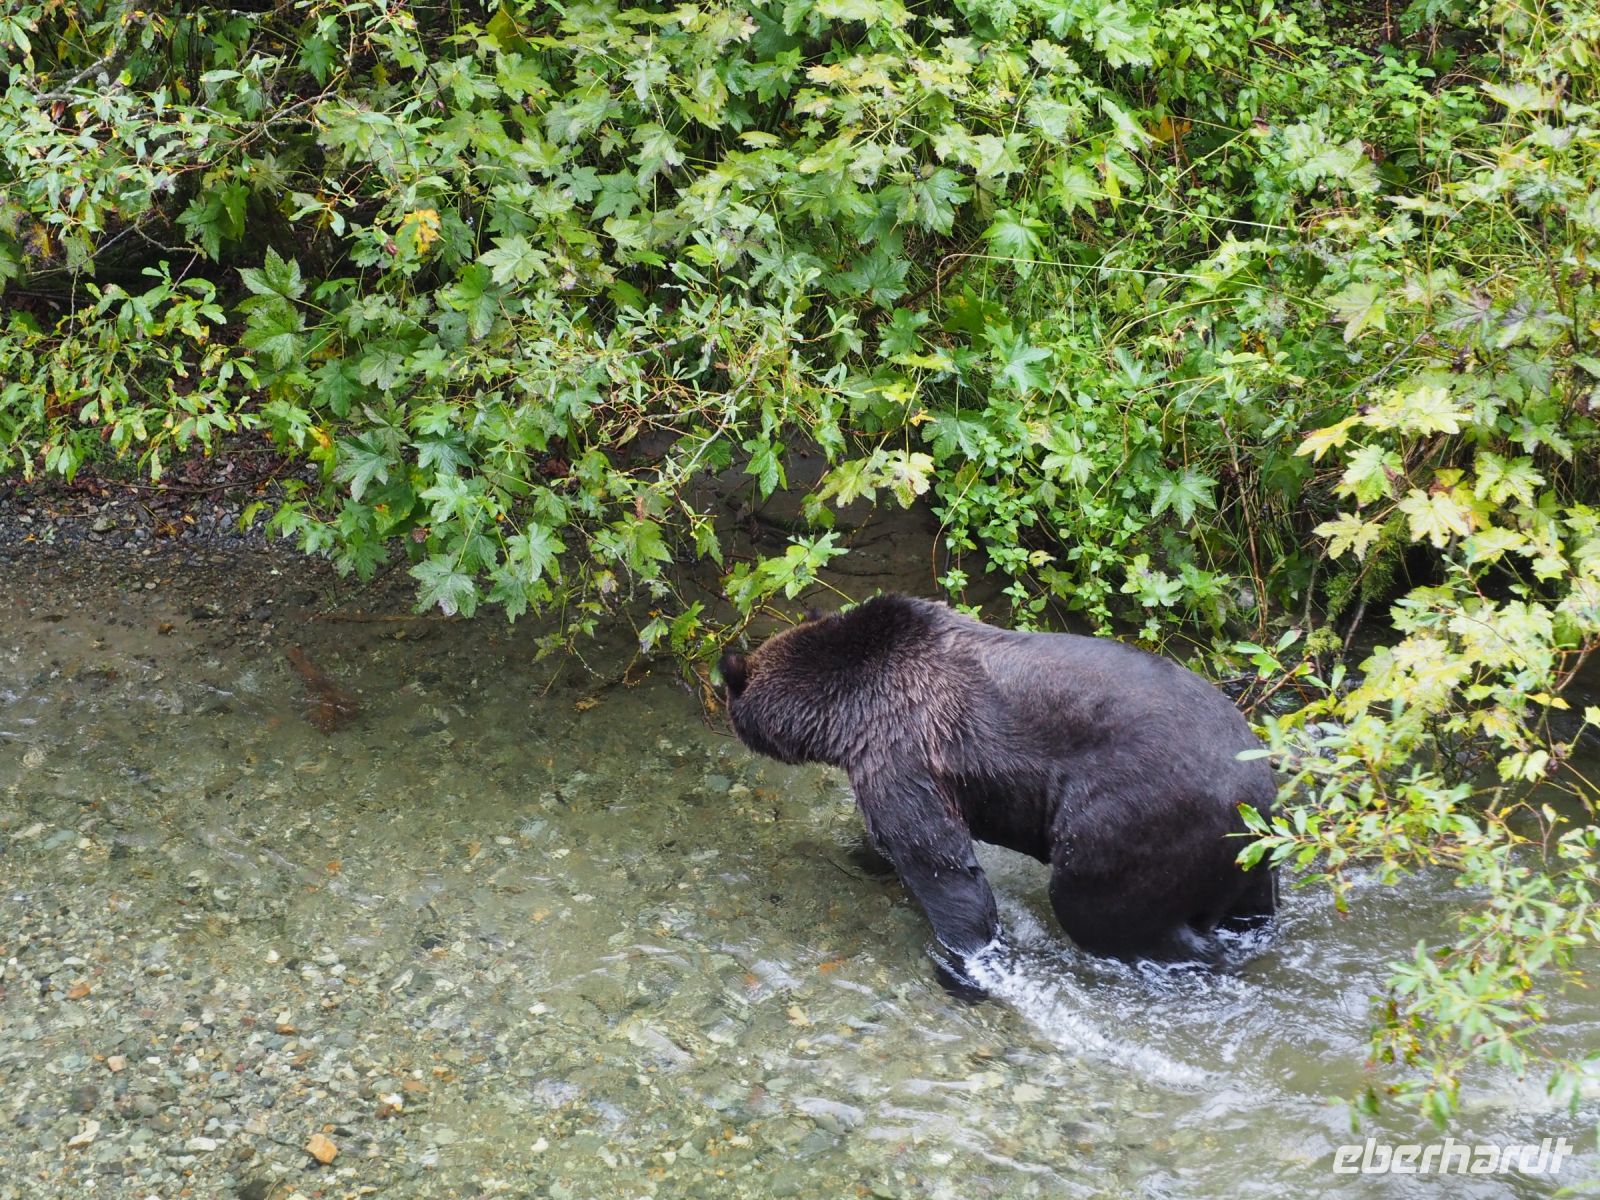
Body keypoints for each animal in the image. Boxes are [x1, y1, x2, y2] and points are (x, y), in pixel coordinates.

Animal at [718, 594, 1277, 980]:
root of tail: (1256, 789)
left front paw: (964, 963)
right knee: (1253, 907)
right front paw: (861, 853)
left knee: (1097, 907)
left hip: (1132, 821)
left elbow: (941, 865)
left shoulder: (906, 747)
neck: (844, 711)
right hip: (1250, 853)